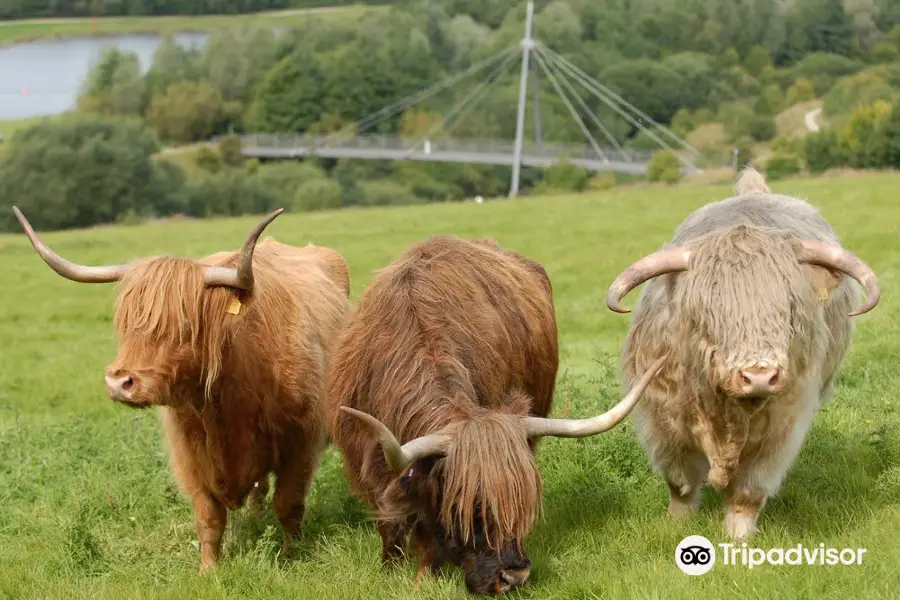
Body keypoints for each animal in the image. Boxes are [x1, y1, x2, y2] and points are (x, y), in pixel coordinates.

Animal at [14, 209, 352, 568]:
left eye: (184, 326)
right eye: (126, 323)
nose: (120, 383)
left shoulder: (302, 442)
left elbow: (289, 504)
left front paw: (290, 557)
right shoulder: (189, 455)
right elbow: (208, 516)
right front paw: (209, 569)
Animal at [324, 236, 660, 596]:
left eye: (522, 502)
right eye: (470, 506)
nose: (513, 577)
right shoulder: (368, 461)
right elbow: (392, 521)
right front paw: (397, 571)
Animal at [604, 166, 880, 540]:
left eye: (789, 307)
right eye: (710, 311)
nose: (759, 376)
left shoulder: (783, 424)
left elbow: (749, 490)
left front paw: (739, 537)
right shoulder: (660, 416)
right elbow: (680, 482)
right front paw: (677, 524)